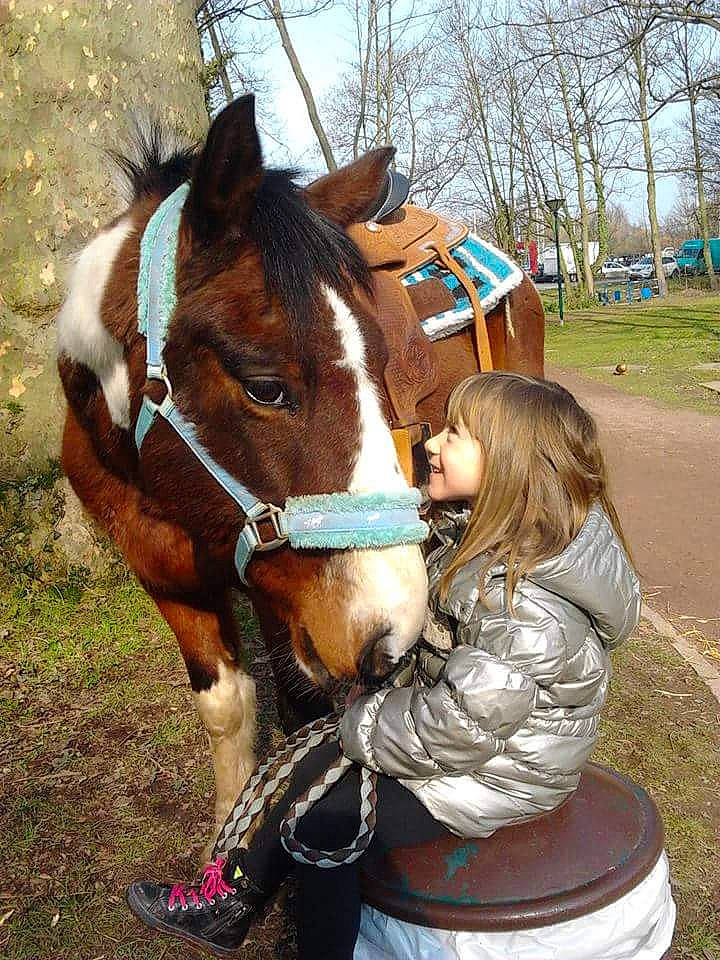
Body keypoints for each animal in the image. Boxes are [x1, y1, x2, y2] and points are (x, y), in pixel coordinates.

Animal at [56, 95, 544, 849]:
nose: (390, 636)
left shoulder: (278, 596)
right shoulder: (169, 581)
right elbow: (228, 707)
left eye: (384, 365)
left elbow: (298, 710)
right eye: (264, 386)